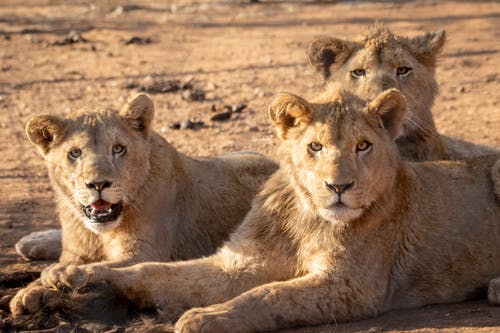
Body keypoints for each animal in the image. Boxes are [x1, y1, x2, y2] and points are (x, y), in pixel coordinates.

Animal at [12, 87, 500, 330]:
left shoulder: (352, 287)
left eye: (363, 146)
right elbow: (154, 273)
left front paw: (209, 317)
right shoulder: (240, 263)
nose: (339, 187)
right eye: (315, 146)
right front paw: (72, 279)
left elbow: (271, 294)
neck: (306, 216)